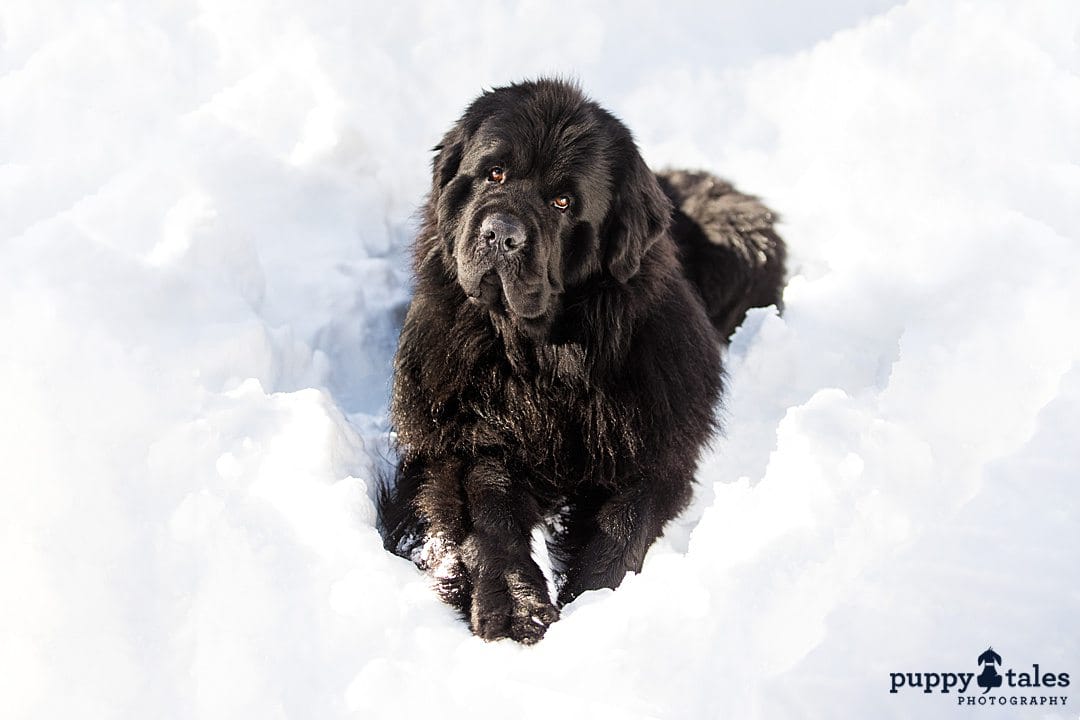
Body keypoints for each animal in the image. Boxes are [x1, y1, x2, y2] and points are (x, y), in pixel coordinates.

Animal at [380, 77, 786, 643]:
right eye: (494, 173)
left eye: (562, 201)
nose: (501, 233)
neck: (545, 359)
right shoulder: (459, 439)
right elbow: (487, 504)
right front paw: (515, 602)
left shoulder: (653, 445)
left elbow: (624, 522)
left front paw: (593, 605)